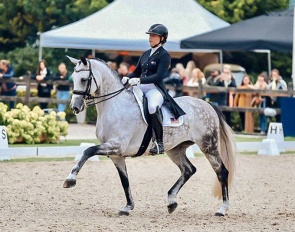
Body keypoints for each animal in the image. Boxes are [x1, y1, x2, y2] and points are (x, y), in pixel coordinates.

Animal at [63, 55, 237, 216]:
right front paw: (128, 207)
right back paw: (171, 202)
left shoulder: (116, 146)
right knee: (188, 170)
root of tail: (207, 104)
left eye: (84, 79)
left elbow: (88, 151)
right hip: (175, 149)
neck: (115, 106)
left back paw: (222, 209)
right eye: (73, 78)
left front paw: (70, 180)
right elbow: (124, 181)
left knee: (222, 172)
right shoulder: (116, 154)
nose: (75, 107)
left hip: (208, 146)